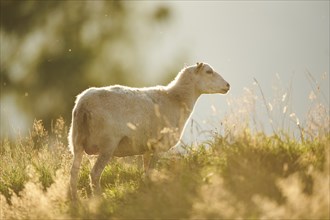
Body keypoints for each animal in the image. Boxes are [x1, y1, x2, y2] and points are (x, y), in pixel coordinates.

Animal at [68, 61, 231, 199]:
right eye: (209, 72)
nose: (228, 85)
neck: (177, 99)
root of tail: (83, 106)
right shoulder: (160, 145)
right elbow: (151, 170)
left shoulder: (146, 147)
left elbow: (146, 172)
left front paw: (146, 188)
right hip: (107, 144)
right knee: (95, 174)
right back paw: (99, 199)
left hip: (76, 141)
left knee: (74, 173)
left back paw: (75, 201)